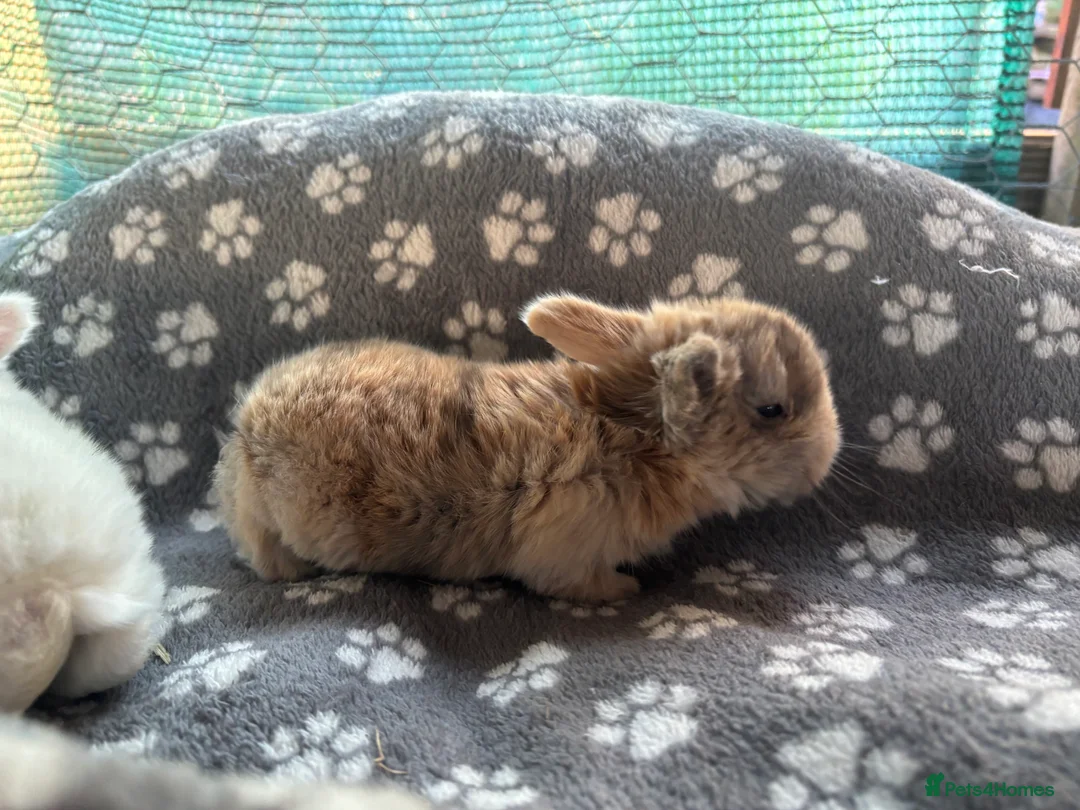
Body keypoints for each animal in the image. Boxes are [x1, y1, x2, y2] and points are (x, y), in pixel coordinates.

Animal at [214, 294, 840, 603]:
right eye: (773, 409)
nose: (828, 456)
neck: (636, 435)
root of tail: (249, 420)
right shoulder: (567, 550)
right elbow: (577, 584)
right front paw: (626, 590)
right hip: (267, 522)